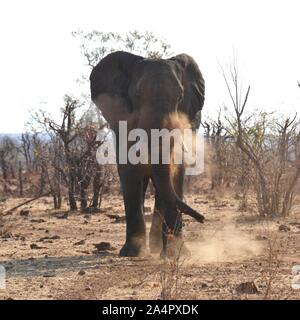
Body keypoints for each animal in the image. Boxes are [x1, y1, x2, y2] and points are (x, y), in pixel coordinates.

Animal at [89, 50, 205, 258]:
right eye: (137, 95)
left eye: (180, 97)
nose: (203, 219)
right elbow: (129, 172)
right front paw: (132, 253)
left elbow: (177, 171)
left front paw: (176, 254)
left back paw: (160, 248)